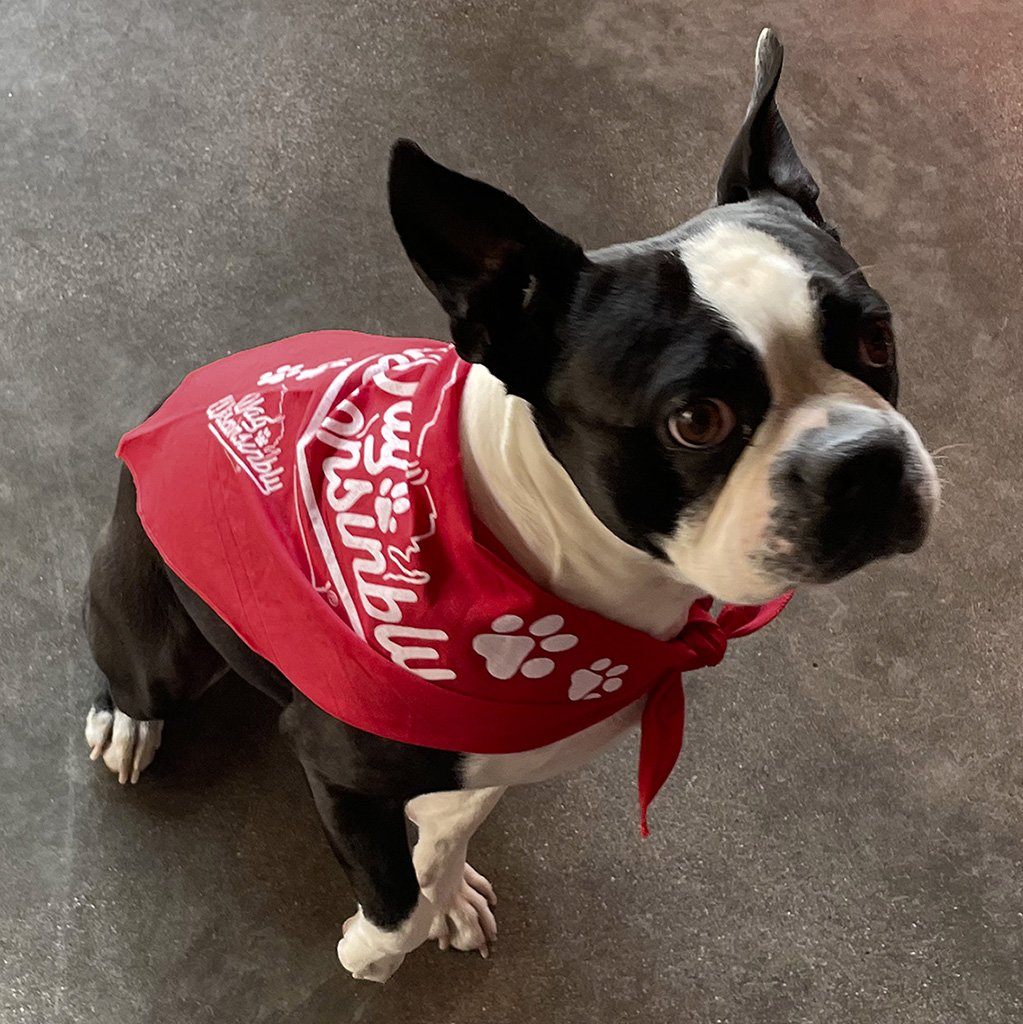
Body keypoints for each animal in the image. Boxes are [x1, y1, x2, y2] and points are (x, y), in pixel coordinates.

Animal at [83, 32, 938, 983]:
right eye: (695, 421)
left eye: (876, 338)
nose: (861, 460)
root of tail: (163, 410)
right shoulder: (334, 759)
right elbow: (394, 899)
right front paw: (372, 948)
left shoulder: (495, 754)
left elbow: (456, 820)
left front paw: (445, 879)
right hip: (161, 637)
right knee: (134, 672)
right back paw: (126, 719)